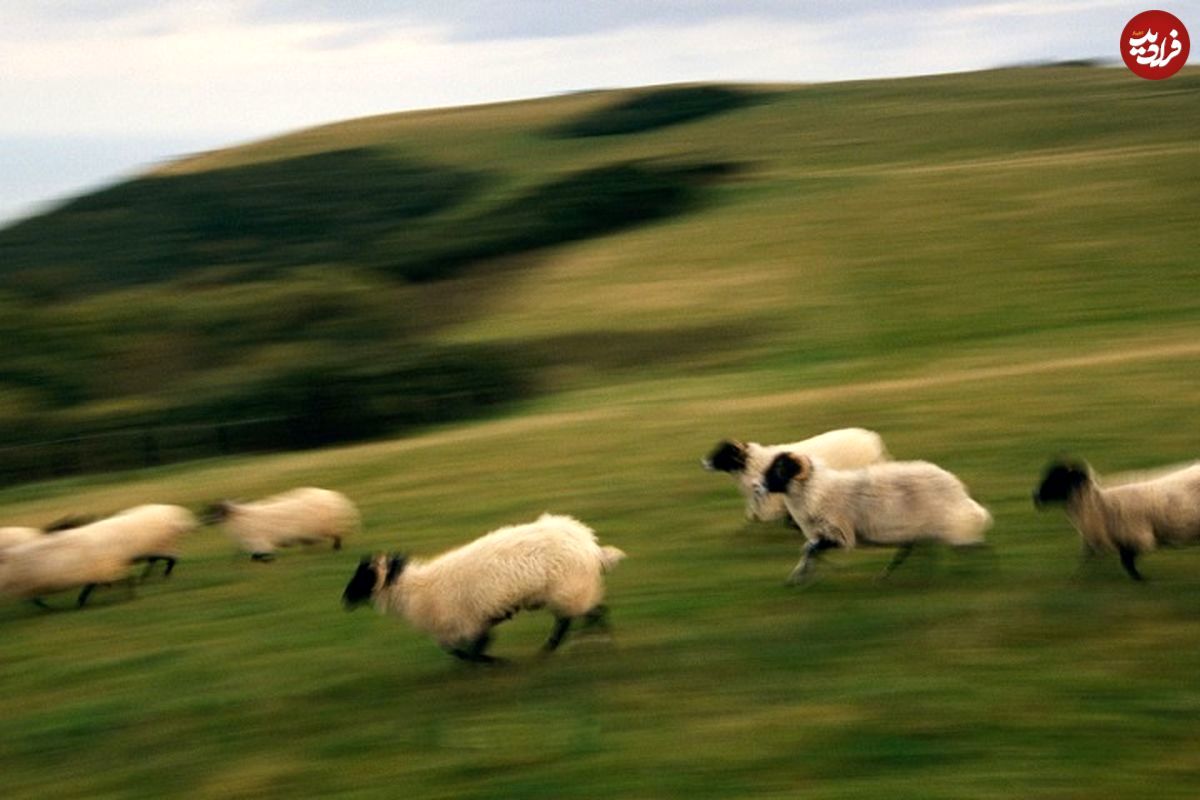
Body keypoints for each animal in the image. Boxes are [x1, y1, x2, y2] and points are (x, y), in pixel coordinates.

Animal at [201, 484, 357, 561]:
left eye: (214, 510)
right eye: (209, 509)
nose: (202, 522)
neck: (241, 519)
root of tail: (334, 495)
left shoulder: (260, 541)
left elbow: (259, 556)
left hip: (332, 527)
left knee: (337, 539)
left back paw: (335, 550)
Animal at [340, 513, 628, 662]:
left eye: (363, 577)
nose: (344, 600)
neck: (415, 588)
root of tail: (589, 543)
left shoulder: (465, 621)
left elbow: (470, 650)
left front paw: (495, 662)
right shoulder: (465, 623)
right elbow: (464, 650)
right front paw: (493, 661)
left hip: (568, 587)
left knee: (579, 616)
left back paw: (576, 645)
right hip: (572, 589)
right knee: (587, 613)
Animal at [763, 453, 988, 585]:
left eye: (780, 469)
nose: (760, 486)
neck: (817, 490)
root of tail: (956, 486)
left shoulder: (841, 534)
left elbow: (809, 549)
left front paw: (800, 575)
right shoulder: (825, 533)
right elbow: (809, 550)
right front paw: (802, 575)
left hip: (949, 523)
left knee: (972, 545)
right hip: (923, 527)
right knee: (911, 550)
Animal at [1032, 455, 1200, 582]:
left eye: (1057, 479)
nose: (1035, 497)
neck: (1099, 503)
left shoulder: (1133, 536)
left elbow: (1127, 563)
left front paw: (1141, 581)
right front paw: (1074, 579)